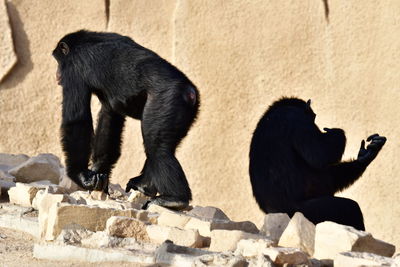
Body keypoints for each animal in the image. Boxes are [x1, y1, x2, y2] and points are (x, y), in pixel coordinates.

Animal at [52, 30, 199, 210]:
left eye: (58, 62)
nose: (57, 73)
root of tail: (190, 91)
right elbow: (110, 116)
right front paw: (97, 172)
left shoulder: (73, 69)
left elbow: (77, 119)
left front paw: (81, 176)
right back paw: (144, 185)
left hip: (168, 101)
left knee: (157, 147)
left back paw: (175, 199)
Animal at [248, 97, 386, 231]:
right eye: (313, 117)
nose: (316, 124)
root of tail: (273, 214)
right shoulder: (296, 118)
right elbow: (320, 155)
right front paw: (335, 132)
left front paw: (367, 153)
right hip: (305, 212)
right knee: (350, 209)